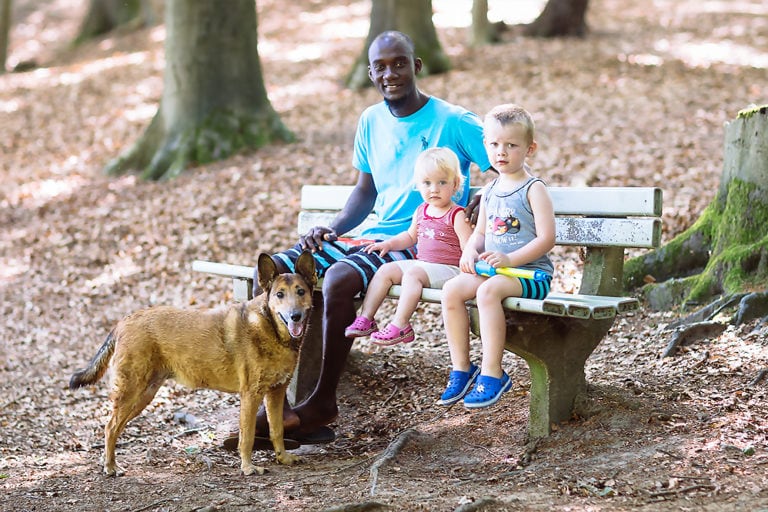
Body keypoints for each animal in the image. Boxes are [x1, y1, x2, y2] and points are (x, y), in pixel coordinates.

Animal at [68, 252, 316, 476]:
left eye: (301, 292)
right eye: (279, 294)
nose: (295, 316)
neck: (271, 328)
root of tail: (124, 321)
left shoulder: (275, 393)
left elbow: (277, 430)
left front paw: (283, 457)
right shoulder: (250, 395)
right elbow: (248, 436)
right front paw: (247, 467)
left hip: (143, 396)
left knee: (114, 426)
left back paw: (109, 462)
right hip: (131, 390)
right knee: (110, 427)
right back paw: (110, 467)